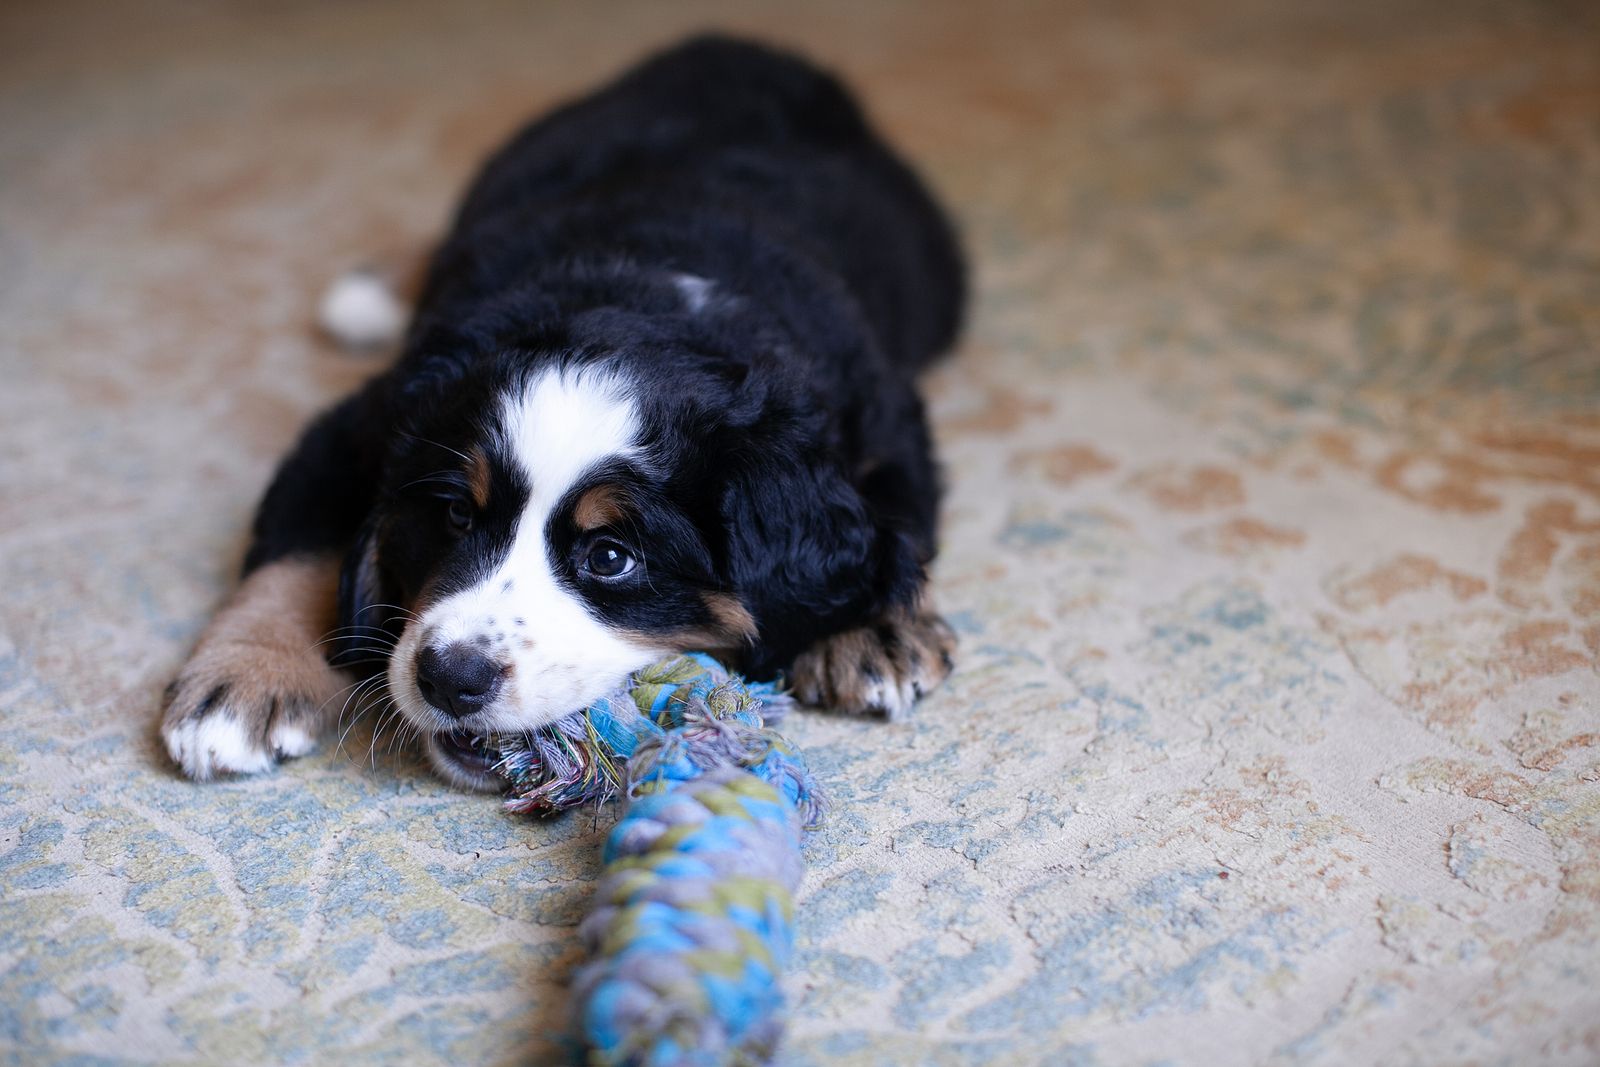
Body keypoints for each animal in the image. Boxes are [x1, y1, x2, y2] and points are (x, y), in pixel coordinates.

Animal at [159, 33, 960, 790]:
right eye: (456, 515)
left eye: (610, 558)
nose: (449, 677)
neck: (647, 294)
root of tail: (738, 47)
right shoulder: (358, 426)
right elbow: (294, 551)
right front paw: (239, 682)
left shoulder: (885, 418)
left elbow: (901, 516)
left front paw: (873, 631)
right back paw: (374, 291)